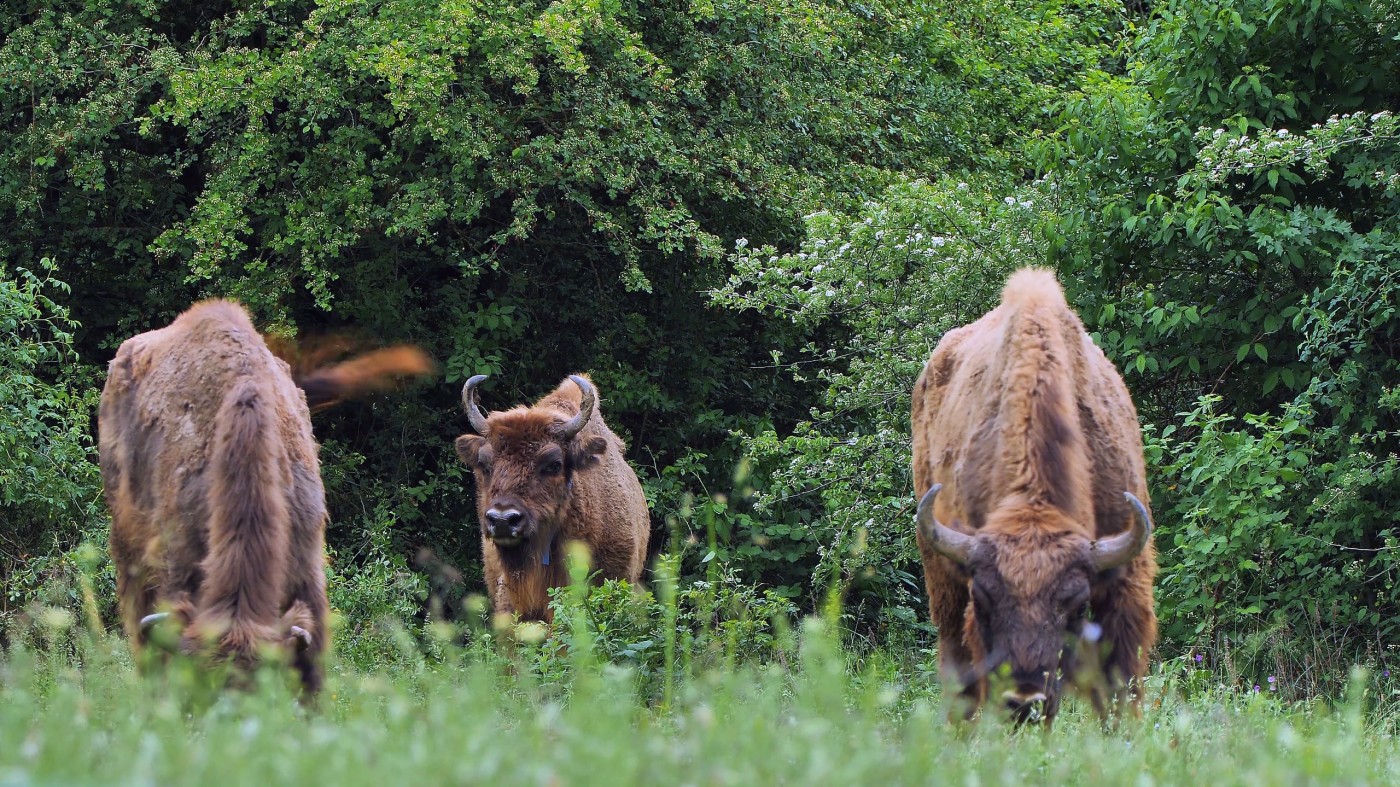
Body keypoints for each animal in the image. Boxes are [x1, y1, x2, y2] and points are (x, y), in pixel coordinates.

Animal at [907, 266, 1159, 722]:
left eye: (1076, 606)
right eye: (984, 600)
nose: (1024, 701)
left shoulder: (1125, 585)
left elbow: (1119, 690)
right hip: (941, 581)